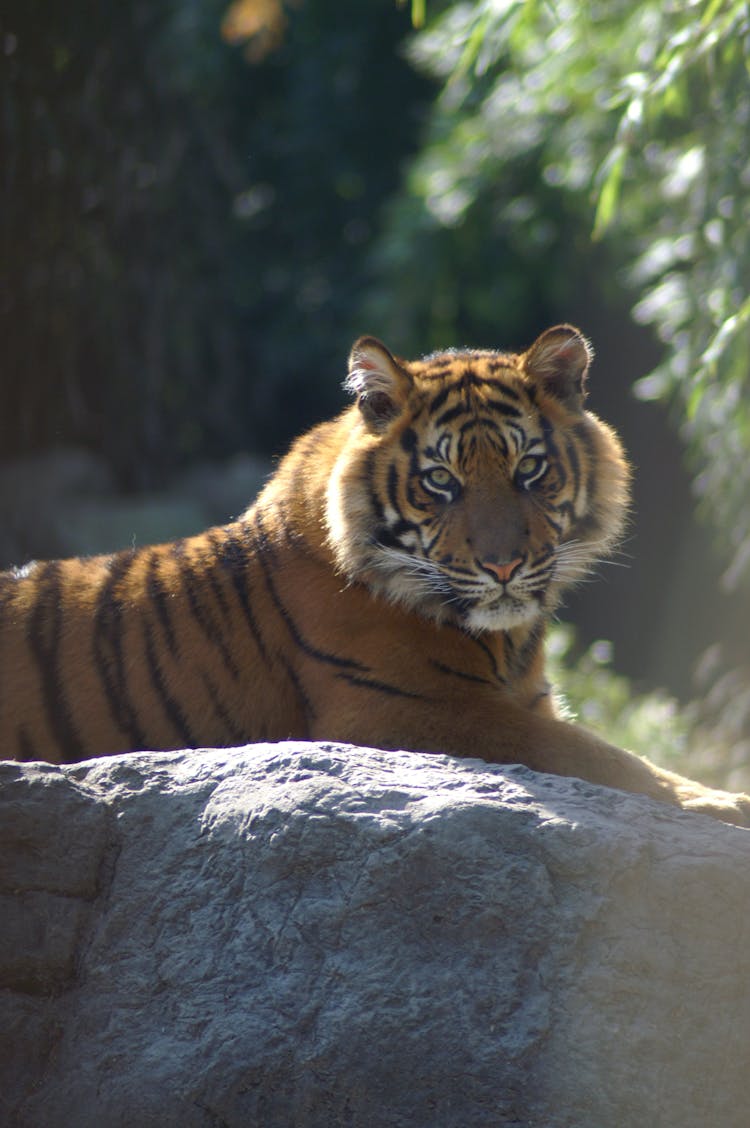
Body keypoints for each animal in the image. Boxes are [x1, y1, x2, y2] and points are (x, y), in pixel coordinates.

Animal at [1, 322, 748, 825]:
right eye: (441, 481)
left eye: (529, 469)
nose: (503, 566)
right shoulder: (407, 710)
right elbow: (600, 755)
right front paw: (726, 802)